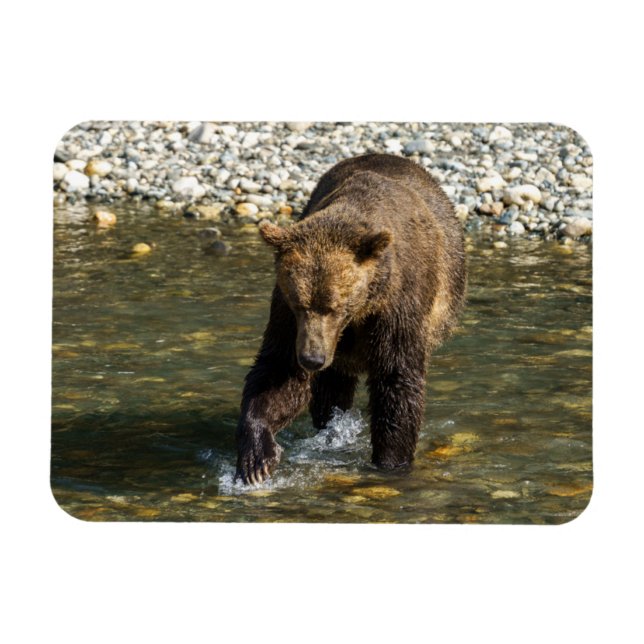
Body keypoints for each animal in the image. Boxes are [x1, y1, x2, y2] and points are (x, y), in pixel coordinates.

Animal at [235, 153, 467, 484]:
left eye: (334, 306)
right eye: (299, 304)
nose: (312, 358)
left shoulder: (397, 305)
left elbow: (396, 379)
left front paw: (390, 462)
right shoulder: (286, 314)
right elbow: (279, 371)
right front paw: (257, 458)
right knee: (331, 390)